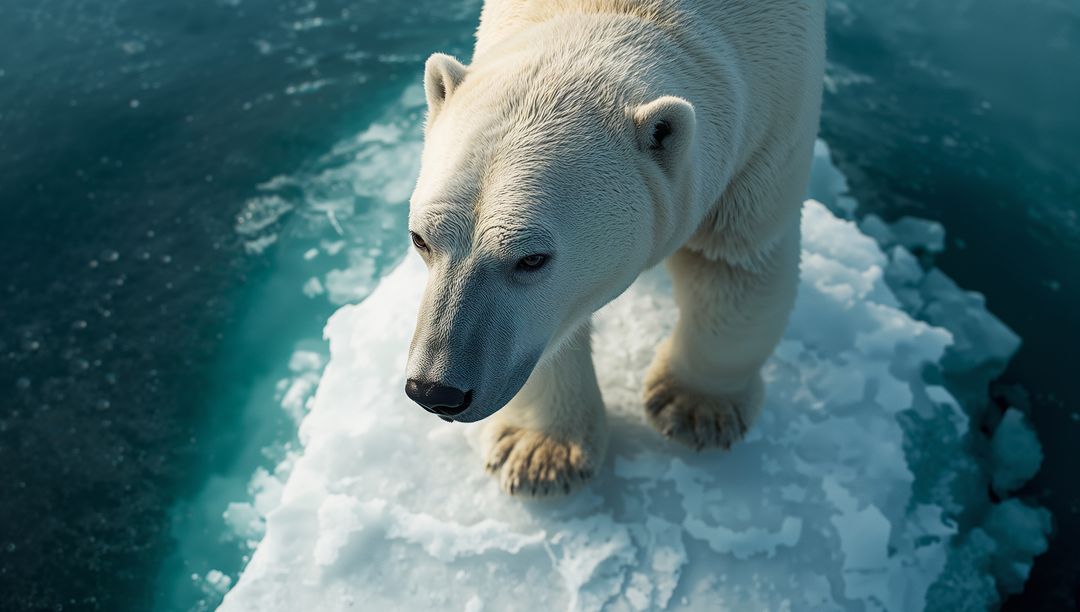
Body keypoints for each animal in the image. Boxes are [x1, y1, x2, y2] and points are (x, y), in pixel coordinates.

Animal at [404, 0, 826, 496]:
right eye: (420, 239)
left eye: (532, 258)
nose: (435, 391)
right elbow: (555, 334)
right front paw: (540, 453)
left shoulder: (772, 124)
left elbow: (734, 268)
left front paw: (694, 409)